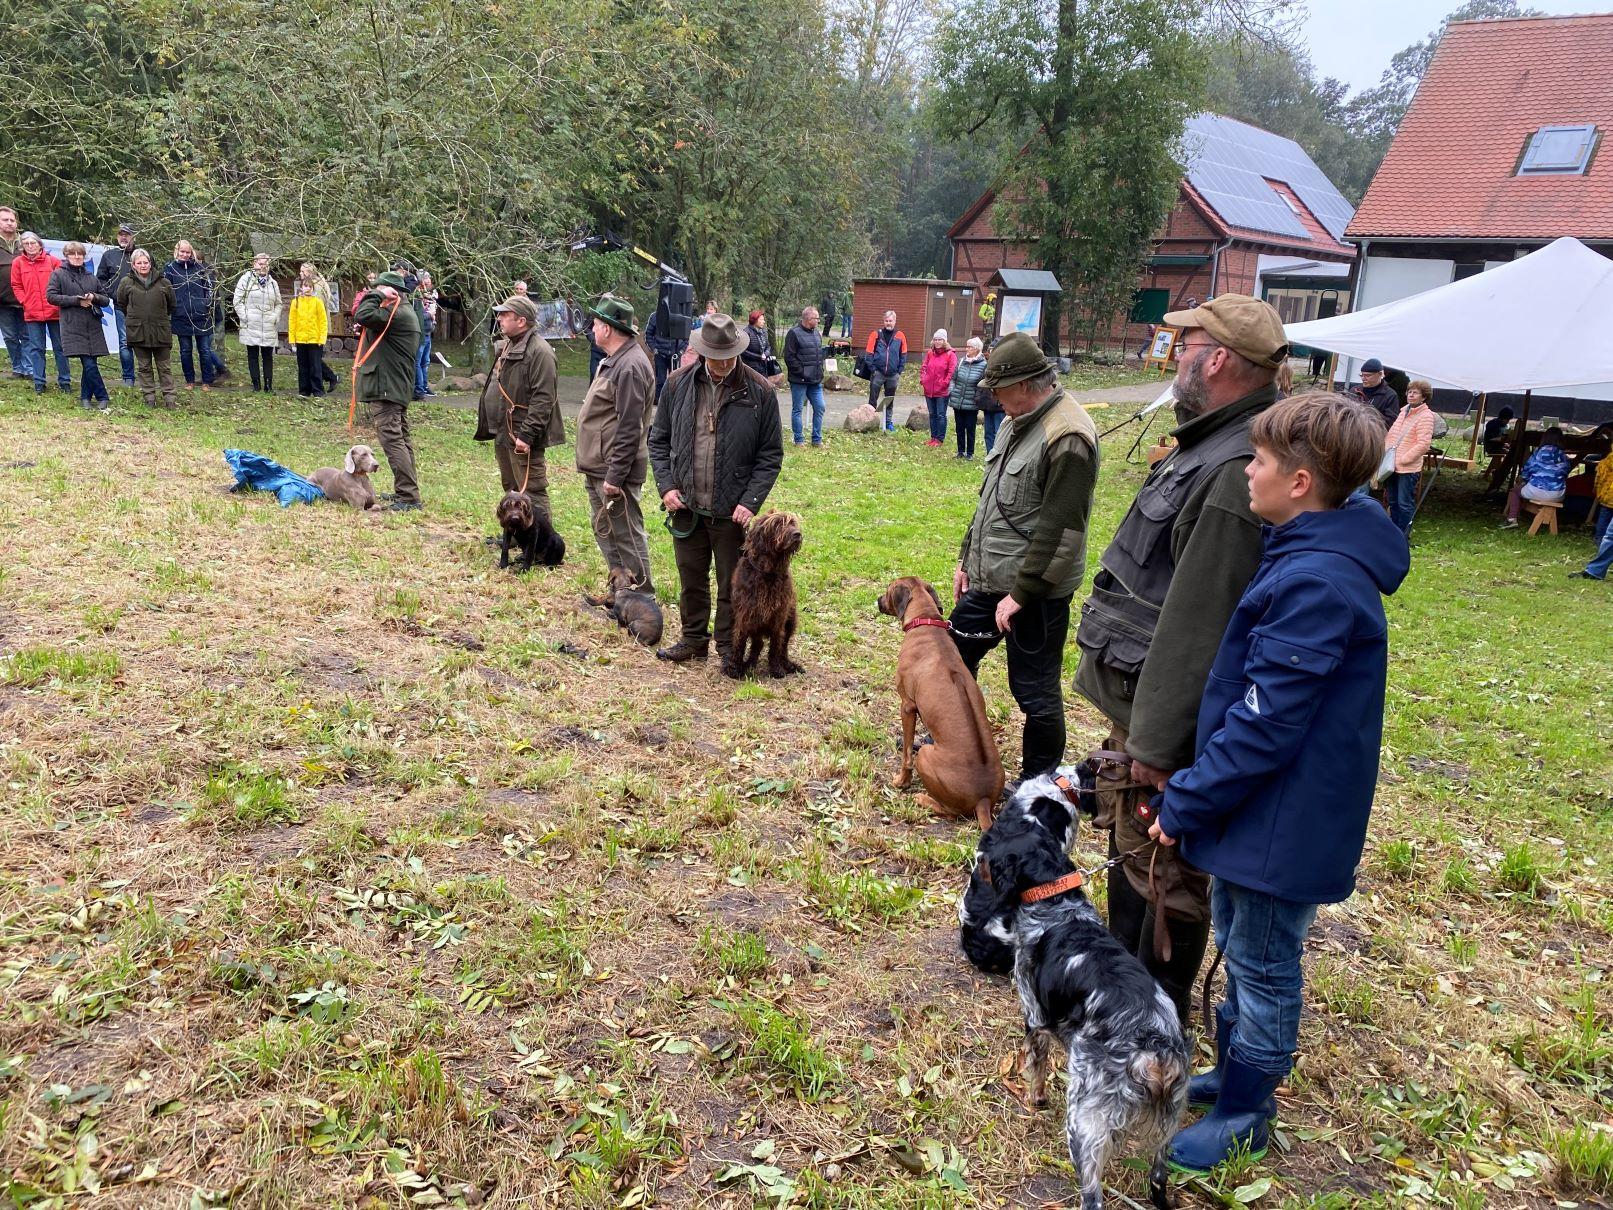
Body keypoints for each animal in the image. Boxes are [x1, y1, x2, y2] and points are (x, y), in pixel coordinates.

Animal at [722, 513, 803, 684]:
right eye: (778, 524)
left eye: (793, 523)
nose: (797, 534)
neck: (768, 572)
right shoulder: (744, 615)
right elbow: (739, 643)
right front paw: (734, 668)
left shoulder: (779, 618)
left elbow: (776, 646)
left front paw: (776, 669)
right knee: (758, 644)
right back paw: (749, 664)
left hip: (790, 620)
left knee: (783, 647)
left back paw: (788, 664)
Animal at [877, 577, 1000, 832]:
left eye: (888, 590)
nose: (877, 600)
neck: (926, 622)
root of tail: (983, 801)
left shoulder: (907, 705)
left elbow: (906, 754)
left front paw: (901, 782)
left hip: (925, 755)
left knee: (951, 813)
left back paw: (923, 798)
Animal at [954, 777, 1187, 1210]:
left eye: (988, 857)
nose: (975, 854)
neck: (1057, 904)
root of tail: (1154, 1052)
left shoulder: (1034, 1018)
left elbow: (1035, 1068)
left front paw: (1034, 1098)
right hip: (1167, 1131)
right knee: (1158, 1180)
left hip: (1083, 1125)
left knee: (1092, 1195)